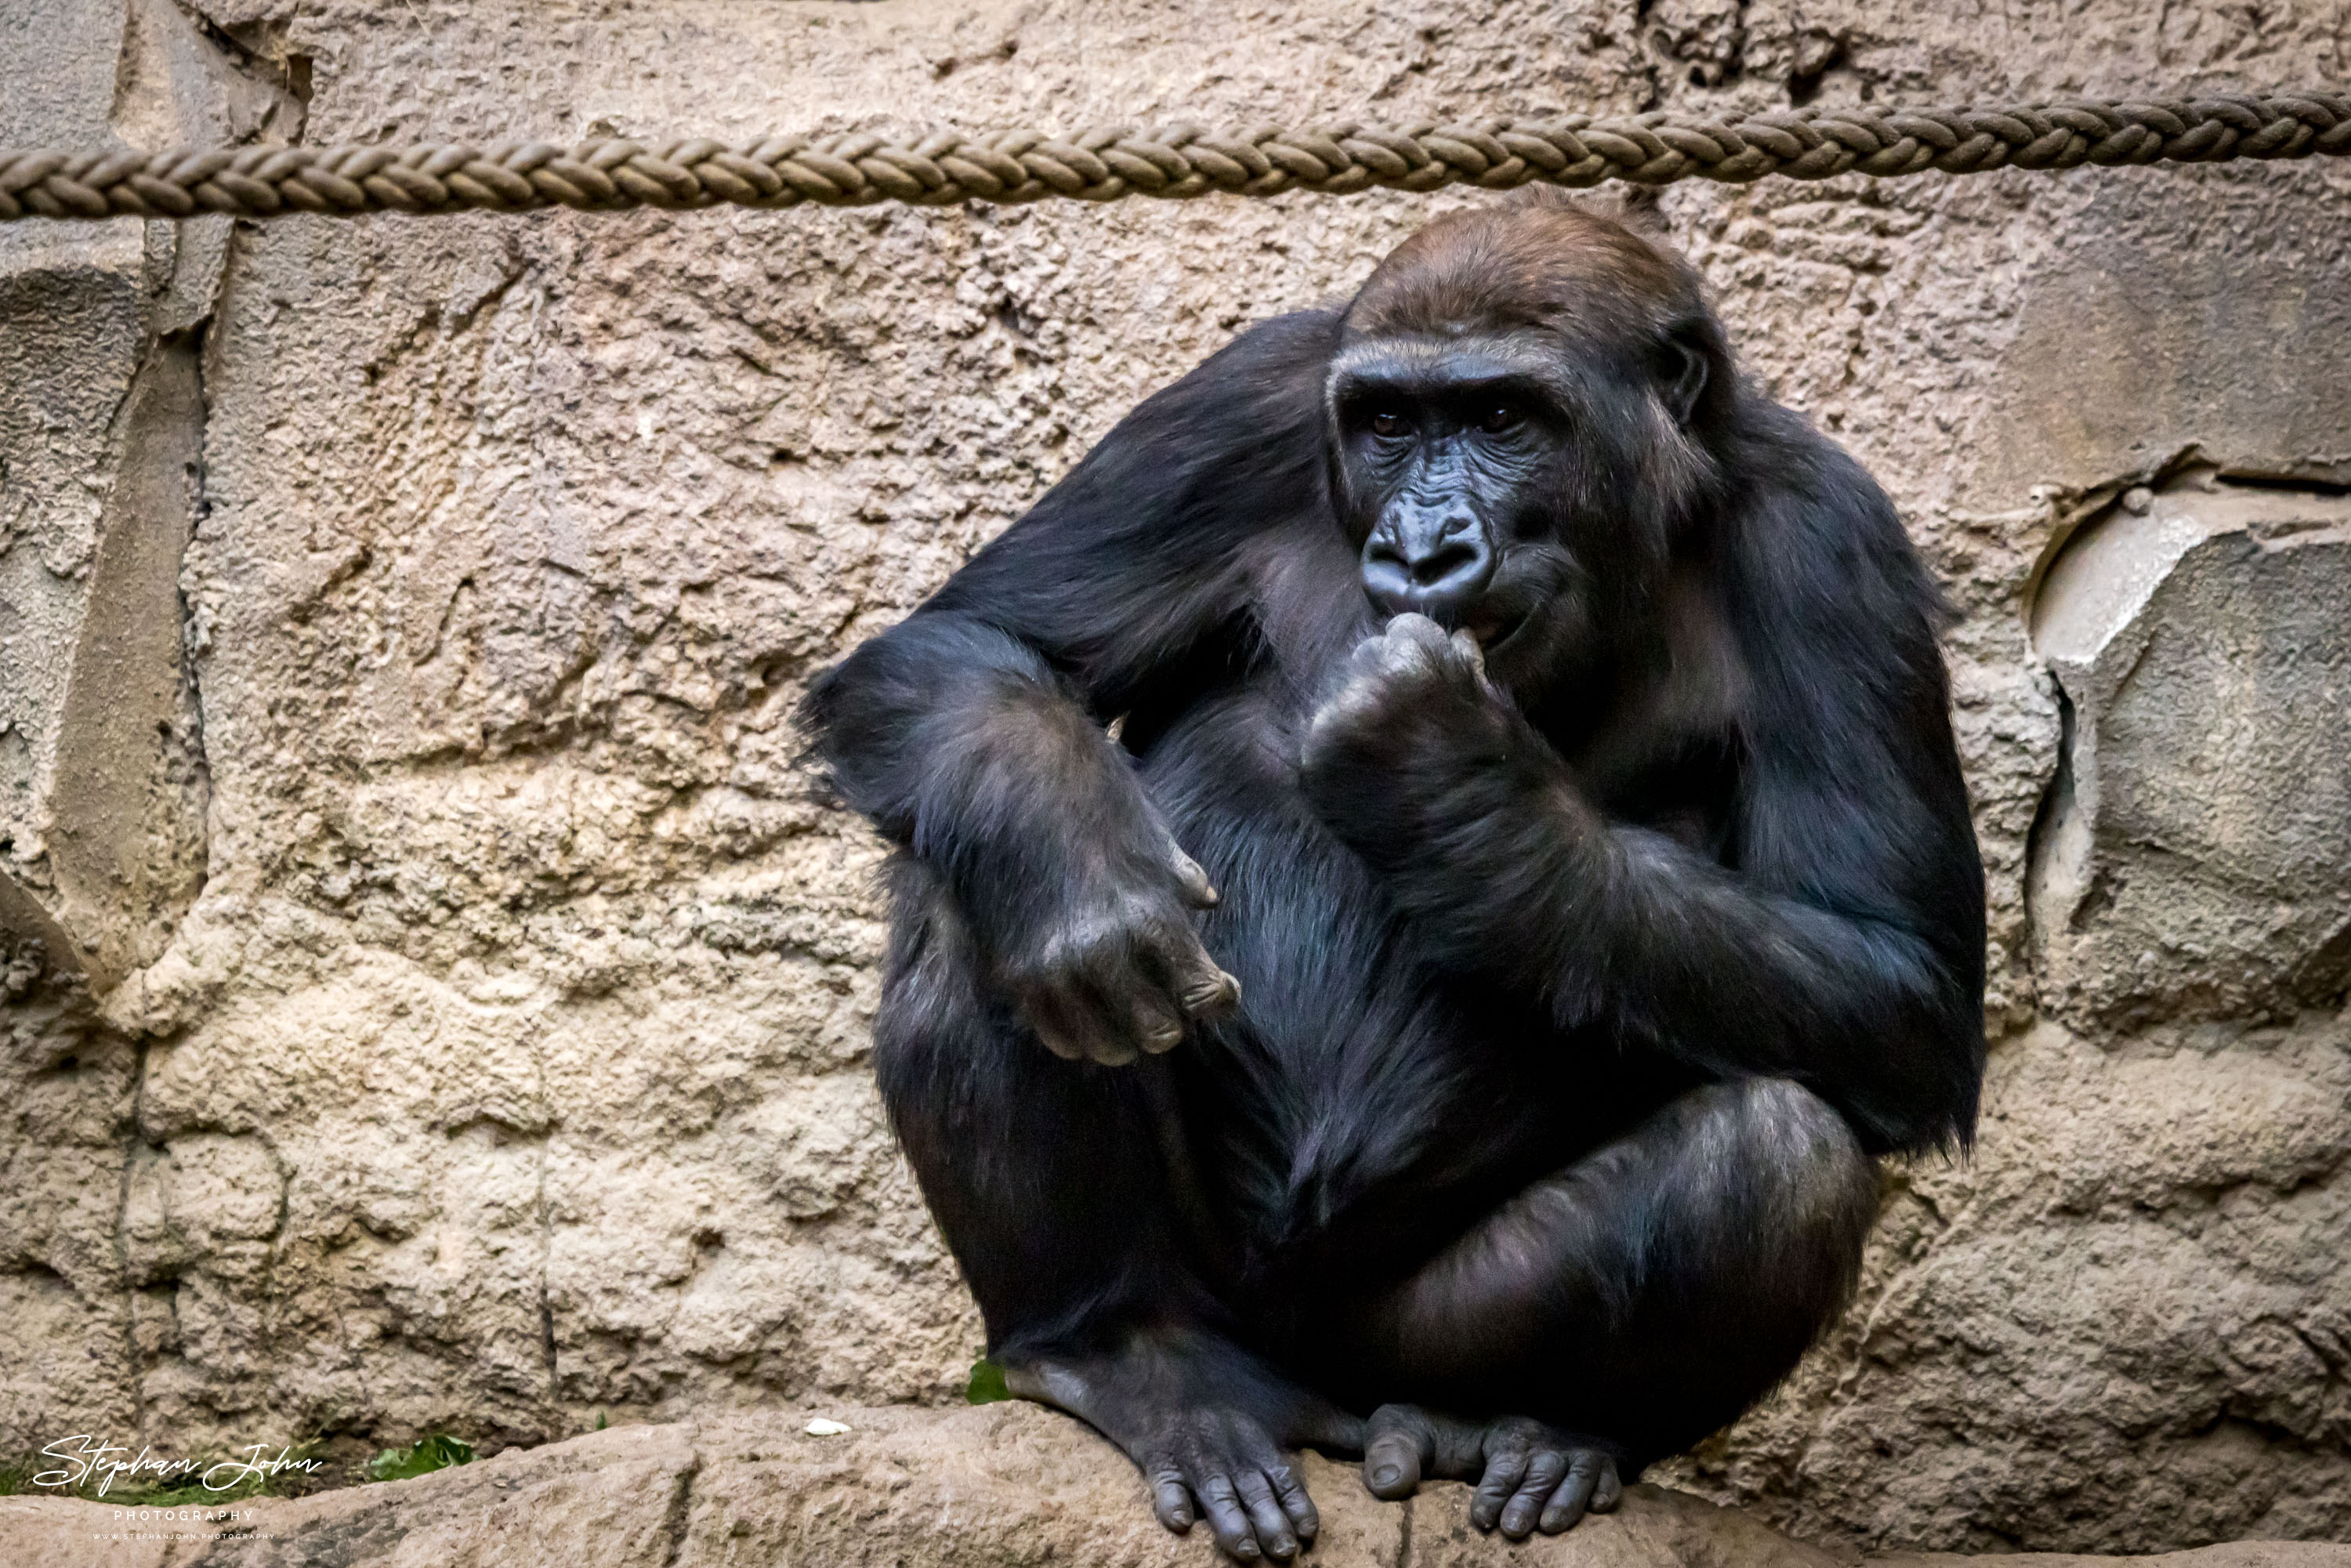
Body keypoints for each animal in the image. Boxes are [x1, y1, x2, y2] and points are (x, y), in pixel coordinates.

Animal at [804, 193, 1984, 1561]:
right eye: (1388, 423)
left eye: (1504, 419)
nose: (1424, 545)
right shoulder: (1246, 404)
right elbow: (968, 644)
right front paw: (1083, 884)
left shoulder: (1835, 544)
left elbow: (1896, 970)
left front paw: (1452, 778)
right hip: (1221, 1298)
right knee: (973, 887)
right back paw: (1120, 1343)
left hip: (1400, 1345)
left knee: (1777, 1154)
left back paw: (1549, 1430)